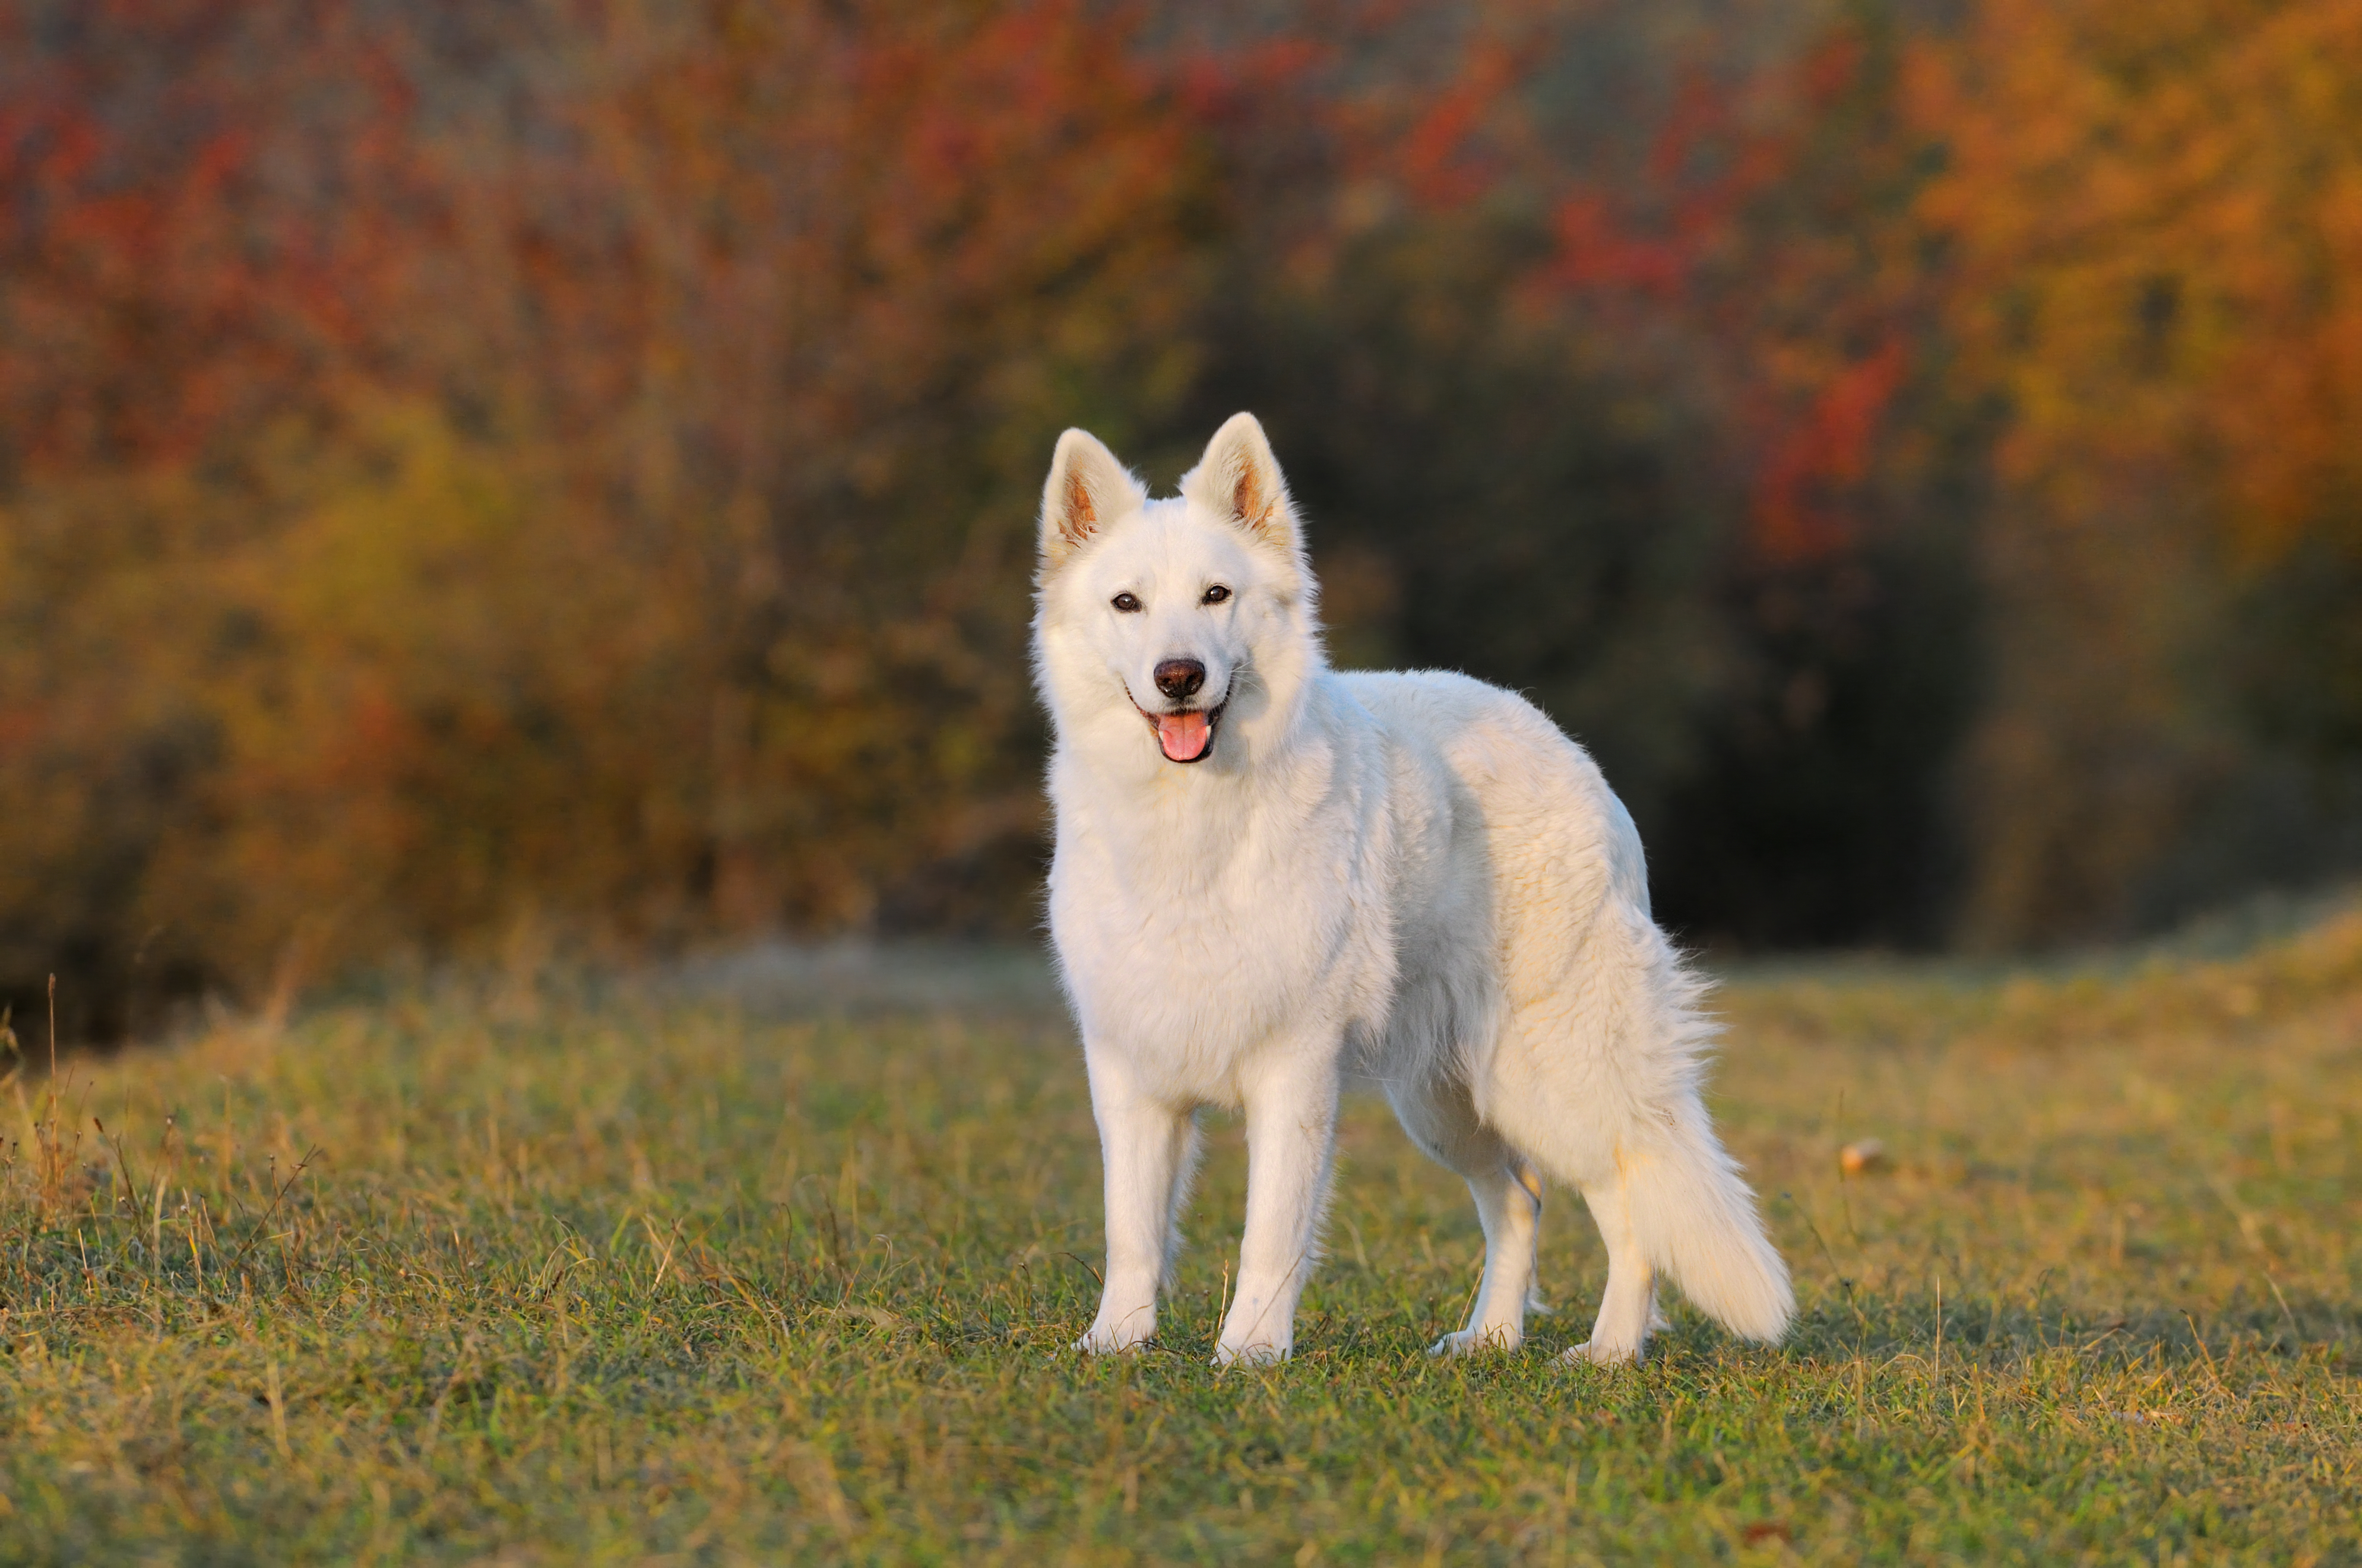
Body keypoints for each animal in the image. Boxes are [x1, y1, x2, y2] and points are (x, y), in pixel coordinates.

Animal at [1034, 411, 1785, 1369]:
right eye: (1126, 604)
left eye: (1215, 596)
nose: (1178, 677)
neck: (1191, 821)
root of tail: (1568, 749)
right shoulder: (1132, 1073)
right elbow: (1130, 1228)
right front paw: (1115, 1344)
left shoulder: (1293, 1073)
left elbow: (1269, 1232)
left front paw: (1250, 1353)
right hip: (1443, 1103)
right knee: (1521, 1200)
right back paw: (1491, 1339)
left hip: (1555, 1082)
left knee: (1629, 1198)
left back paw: (1609, 1352)